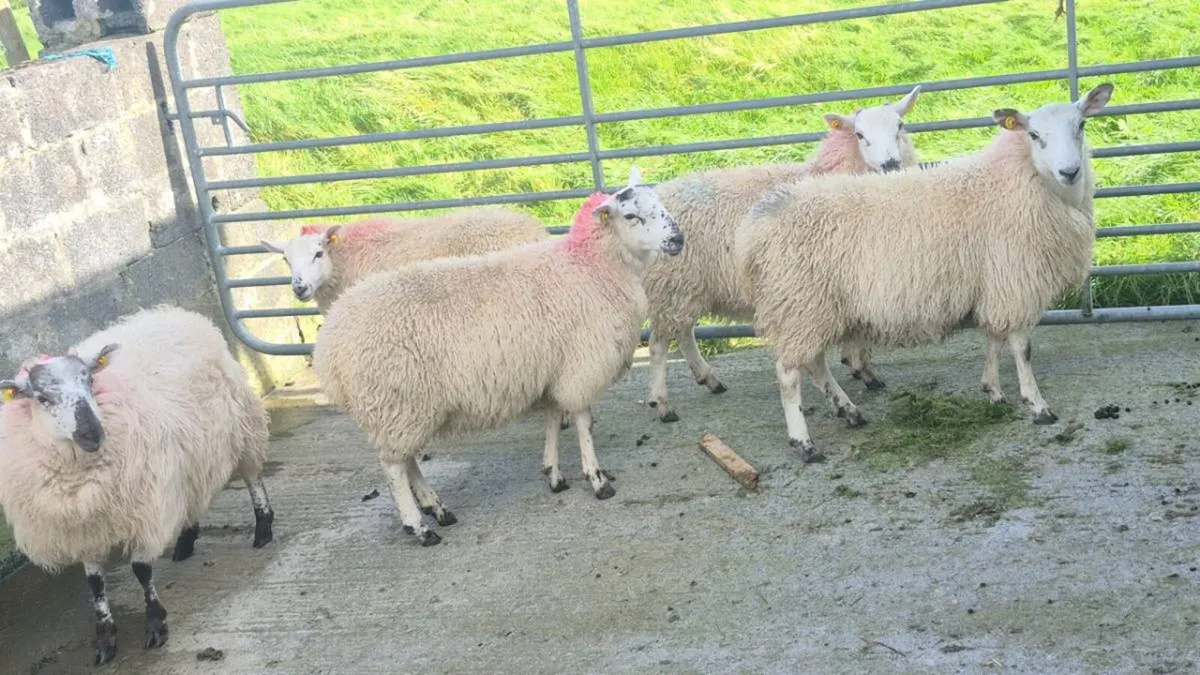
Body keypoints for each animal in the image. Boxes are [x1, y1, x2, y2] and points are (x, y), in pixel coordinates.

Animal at [0, 305, 275, 666]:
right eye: (42, 398)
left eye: (90, 381)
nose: (93, 434)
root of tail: (175, 312)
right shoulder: (83, 527)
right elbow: (95, 585)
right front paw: (105, 640)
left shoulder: (144, 506)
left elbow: (142, 570)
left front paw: (156, 625)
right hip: (189, 451)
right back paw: (185, 541)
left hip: (241, 425)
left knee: (252, 475)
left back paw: (263, 528)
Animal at [311, 167, 683, 546]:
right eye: (631, 216)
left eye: (659, 203)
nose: (678, 239)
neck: (594, 267)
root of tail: (328, 347)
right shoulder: (581, 364)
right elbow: (582, 422)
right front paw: (596, 479)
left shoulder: (551, 366)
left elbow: (552, 418)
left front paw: (554, 475)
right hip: (395, 401)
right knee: (393, 468)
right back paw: (420, 526)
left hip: (402, 409)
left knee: (406, 459)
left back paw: (436, 507)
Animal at [642, 87, 922, 423]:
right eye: (860, 134)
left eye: (900, 126)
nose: (890, 164)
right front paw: (860, 367)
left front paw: (856, 366)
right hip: (672, 283)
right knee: (659, 343)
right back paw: (662, 402)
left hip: (688, 285)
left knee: (683, 332)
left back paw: (708, 379)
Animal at [735, 84, 1113, 462]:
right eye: (1033, 135)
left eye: (1081, 125)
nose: (1069, 171)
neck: (1018, 182)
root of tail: (756, 226)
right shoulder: (1015, 281)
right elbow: (1022, 348)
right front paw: (1036, 405)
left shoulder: (995, 283)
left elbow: (994, 339)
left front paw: (993, 390)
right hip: (800, 302)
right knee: (788, 373)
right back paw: (804, 441)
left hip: (809, 308)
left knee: (813, 363)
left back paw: (849, 411)